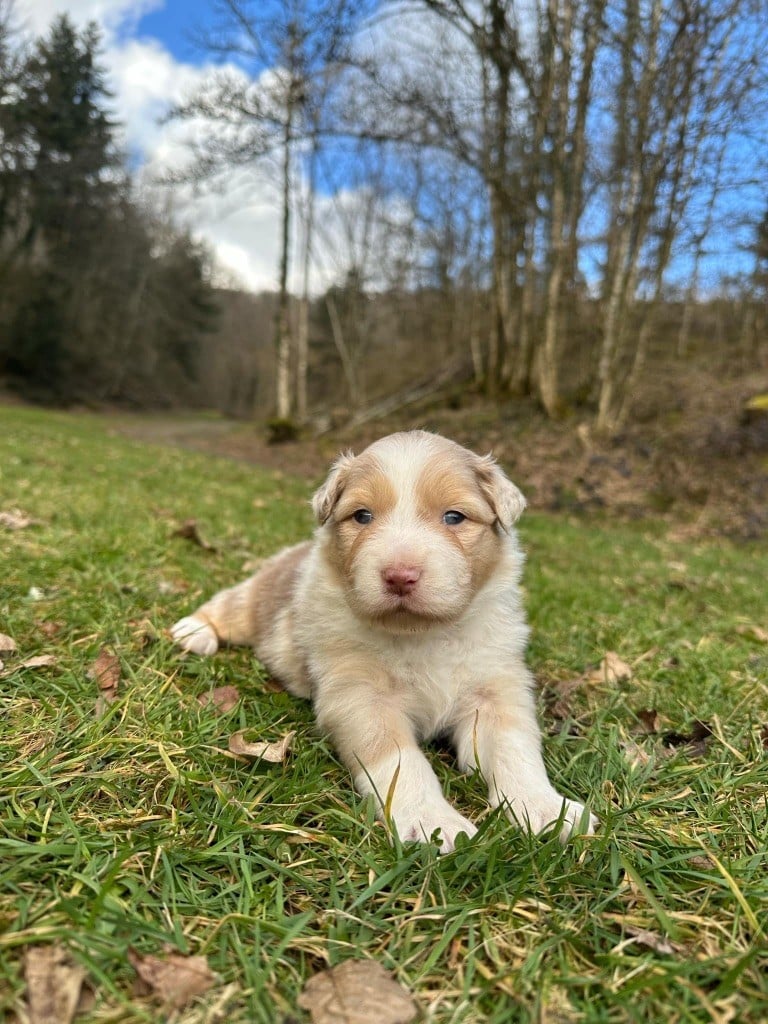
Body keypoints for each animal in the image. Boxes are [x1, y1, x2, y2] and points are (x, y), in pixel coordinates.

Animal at [171, 428, 598, 851]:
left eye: (454, 517)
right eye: (362, 516)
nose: (400, 576)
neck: (423, 633)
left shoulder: (496, 688)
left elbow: (516, 749)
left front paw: (547, 809)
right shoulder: (361, 697)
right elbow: (401, 761)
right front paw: (434, 822)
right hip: (256, 600)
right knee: (227, 607)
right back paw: (193, 632)